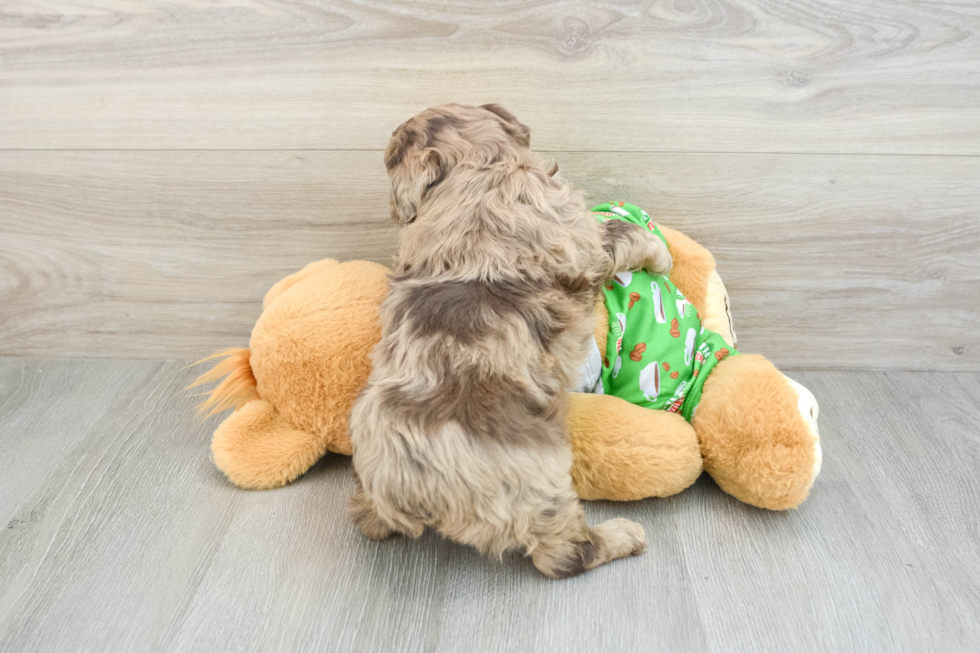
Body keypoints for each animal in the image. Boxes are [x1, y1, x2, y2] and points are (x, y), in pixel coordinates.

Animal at [346, 102, 672, 576]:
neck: (478, 167)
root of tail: (406, 486)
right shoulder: (582, 239)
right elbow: (618, 232)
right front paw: (660, 252)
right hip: (539, 485)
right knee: (564, 553)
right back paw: (623, 536)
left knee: (369, 521)